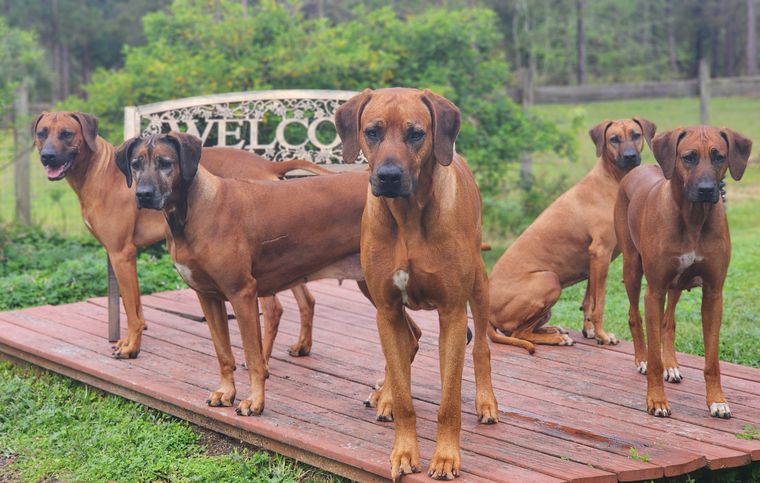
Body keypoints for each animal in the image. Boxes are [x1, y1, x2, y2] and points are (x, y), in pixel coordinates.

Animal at [31, 111, 328, 362]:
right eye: (42, 133)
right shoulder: (120, 255)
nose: (47, 156)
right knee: (307, 299)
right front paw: (128, 340)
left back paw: (261, 358)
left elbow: (130, 307)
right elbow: (135, 305)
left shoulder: (121, 253)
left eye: (67, 133)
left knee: (273, 309)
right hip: (286, 253)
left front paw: (131, 347)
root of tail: (270, 164)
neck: (99, 170)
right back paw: (302, 346)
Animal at [113, 131, 372, 416]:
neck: (192, 211)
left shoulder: (242, 293)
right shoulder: (207, 296)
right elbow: (223, 353)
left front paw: (256, 401)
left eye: (165, 162)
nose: (143, 195)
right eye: (135, 164)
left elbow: (253, 356)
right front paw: (226, 392)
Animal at [336, 89, 496, 482]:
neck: (407, 216)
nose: (389, 176)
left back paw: (486, 402)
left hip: (479, 283)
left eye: (416, 134)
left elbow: (449, 401)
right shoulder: (387, 307)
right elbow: (405, 395)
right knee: (406, 344)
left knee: (480, 348)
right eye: (372, 131)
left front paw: (446, 457)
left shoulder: (452, 313)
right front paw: (405, 451)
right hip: (369, 292)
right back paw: (386, 396)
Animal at [490, 117, 656, 352]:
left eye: (636, 135)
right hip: (549, 280)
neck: (612, 179)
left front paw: (591, 332)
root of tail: (487, 313)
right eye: (614, 139)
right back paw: (556, 338)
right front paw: (603, 335)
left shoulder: (593, 261)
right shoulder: (601, 253)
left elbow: (588, 301)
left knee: (522, 330)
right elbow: (599, 303)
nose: (630, 157)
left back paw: (552, 329)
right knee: (518, 333)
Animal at [616, 125, 752, 420]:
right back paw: (641, 359)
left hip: (676, 284)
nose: (706, 190)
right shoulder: (654, 292)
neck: (693, 218)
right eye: (688, 157)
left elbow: (712, 360)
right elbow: (654, 356)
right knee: (634, 315)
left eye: (719, 156)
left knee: (668, 322)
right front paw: (656, 400)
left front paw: (717, 401)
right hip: (632, 268)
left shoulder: (713, 294)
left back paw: (672, 365)